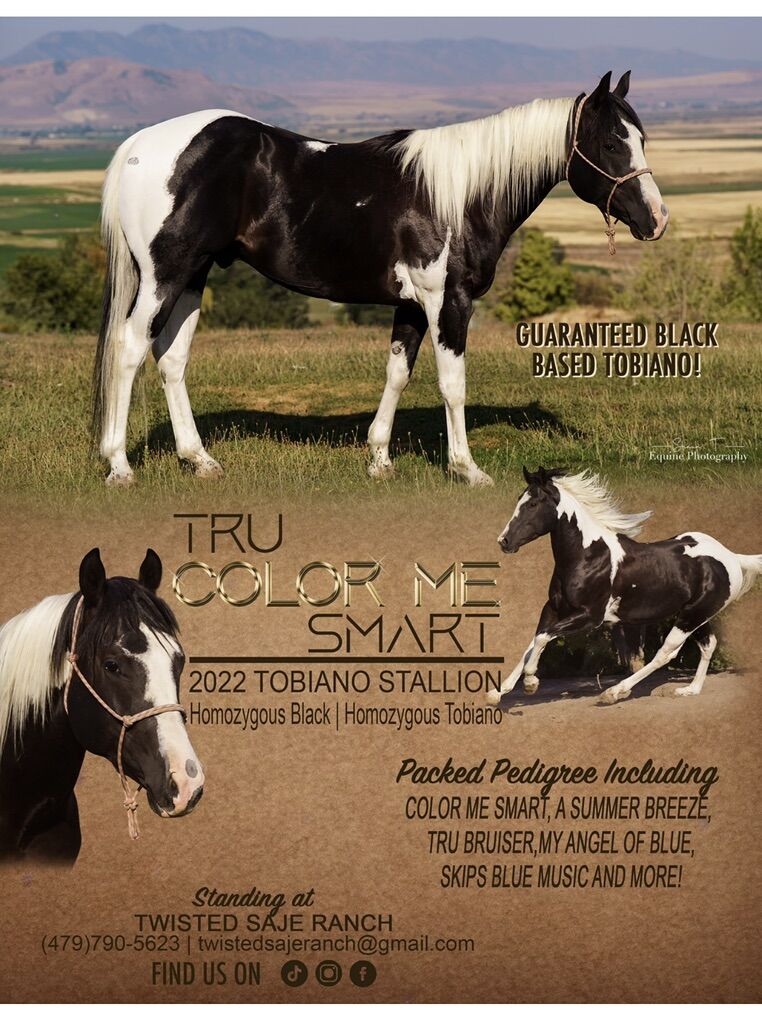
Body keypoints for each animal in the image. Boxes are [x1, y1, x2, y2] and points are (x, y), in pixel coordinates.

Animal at [93, 70, 668, 487]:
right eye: (613, 144)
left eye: (642, 138)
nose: (657, 220)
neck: (460, 193)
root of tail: (143, 142)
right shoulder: (448, 301)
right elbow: (452, 384)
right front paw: (467, 469)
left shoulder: (411, 305)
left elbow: (397, 373)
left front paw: (379, 459)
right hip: (165, 275)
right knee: (130, 348)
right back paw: (119, 465)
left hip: (193, 275)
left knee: (171, 358)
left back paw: (200, 460)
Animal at [488, 467, 762, 705]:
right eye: (519, 499)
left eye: (532, 504)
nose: (504, 541)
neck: (587, 555)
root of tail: (731, 557)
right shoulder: (553, 609)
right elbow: (535, 640)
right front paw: (497, 692)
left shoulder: (590, 616)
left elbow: (543, 637)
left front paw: (530, 682)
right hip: (694, 616)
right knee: (708, 644)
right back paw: (689, 690)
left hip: (692, 616)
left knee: (667, 652)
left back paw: (614, 692)